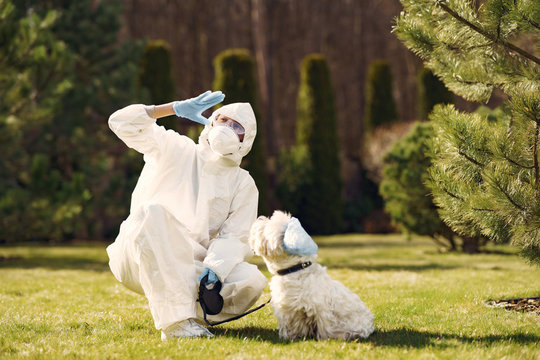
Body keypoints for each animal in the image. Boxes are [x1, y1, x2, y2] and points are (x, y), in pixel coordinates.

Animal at [250, 211, 374, 340]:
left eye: (267, 226)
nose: (259, 219)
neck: (294, 270)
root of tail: (370, 324)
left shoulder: (320, 310)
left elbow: (324, 327)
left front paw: (323, 339)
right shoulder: (288, 310)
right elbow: (289, 327)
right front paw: (289, 337)